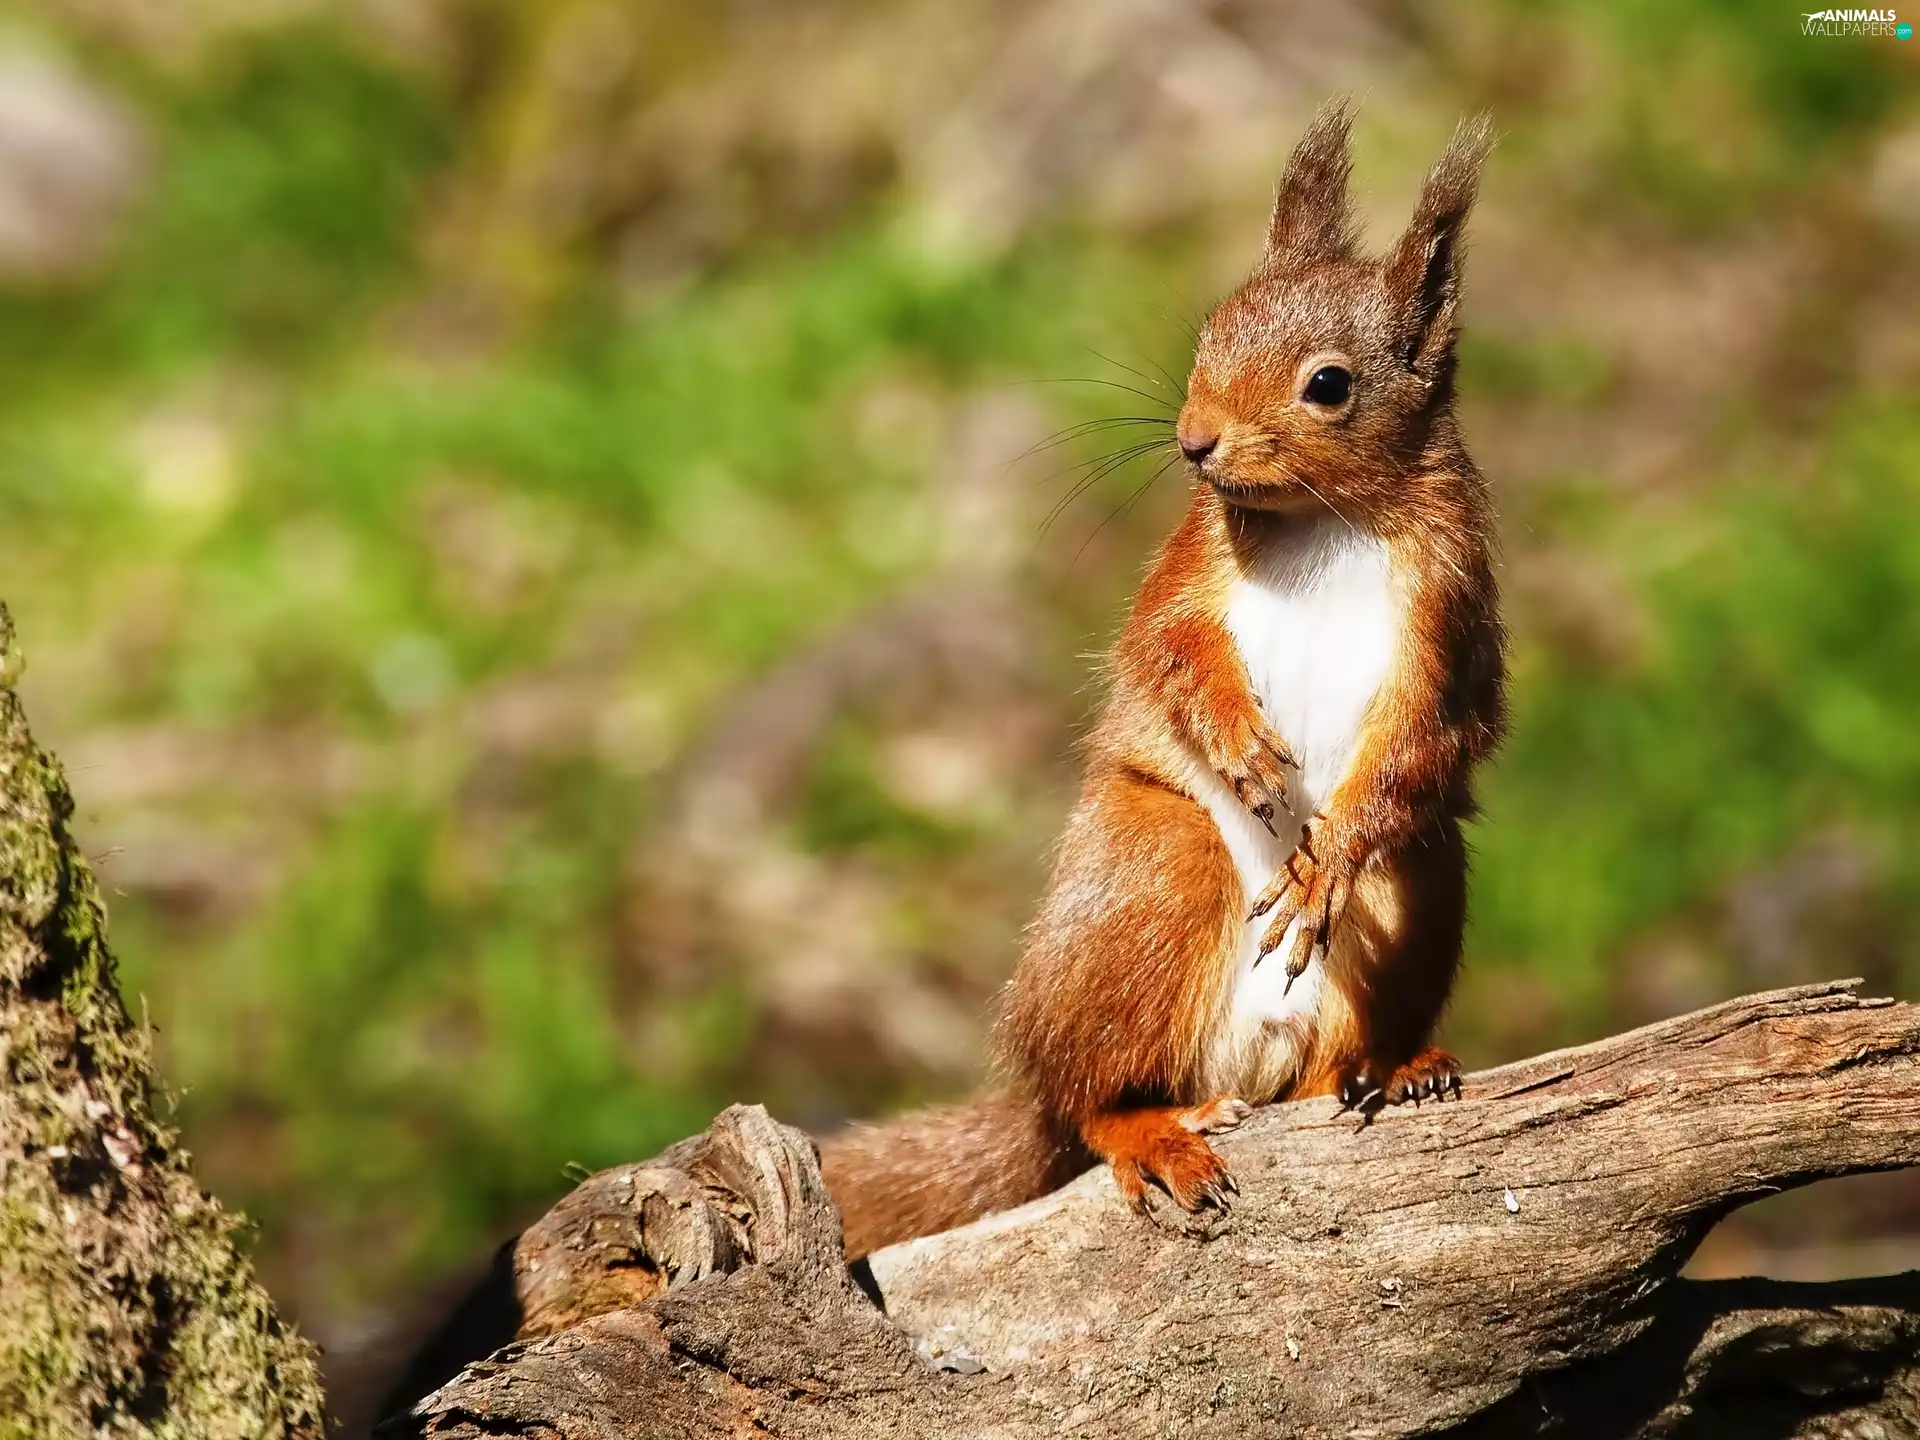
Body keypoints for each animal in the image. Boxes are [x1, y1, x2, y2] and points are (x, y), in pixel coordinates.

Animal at [820, 101, 1508, 1261]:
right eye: (1209, 333)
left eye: (1330, 384)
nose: (1194, 441)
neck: (1328, 518)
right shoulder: (1188, 568)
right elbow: (1170, 650)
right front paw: (1239, 742)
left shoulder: (1448, 615)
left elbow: (1428, 731)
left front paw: (1326, 864)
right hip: (1156, 870)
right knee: (1093, 1102)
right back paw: (1151, 1129)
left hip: (1419, 886)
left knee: (1332, 1042)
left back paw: (1389, 1065)